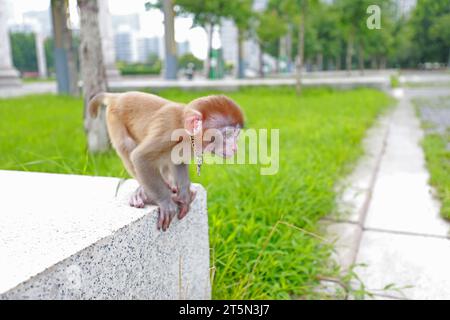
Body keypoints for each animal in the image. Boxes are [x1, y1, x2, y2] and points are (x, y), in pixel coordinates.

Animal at [87, 91, 243, 231]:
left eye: (237, 135)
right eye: (228, 134)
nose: (235, 148)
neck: (185, 130)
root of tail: (118, 96)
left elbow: (178, 161)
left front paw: (184, 194)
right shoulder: (168, 131)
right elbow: (140, 157)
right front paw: (165, 201)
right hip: (114, 119)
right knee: (127, 145)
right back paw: (144, 191)